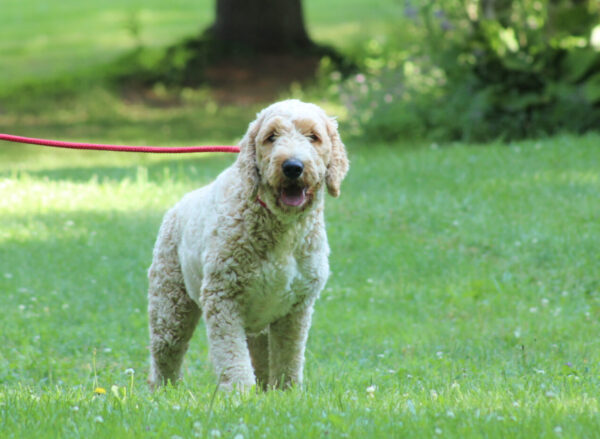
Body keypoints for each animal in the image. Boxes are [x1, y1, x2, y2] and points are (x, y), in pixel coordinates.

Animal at [147, 100, 350, 392]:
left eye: (314, 136)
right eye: (271, 137)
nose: (292, 166)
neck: (282, 226)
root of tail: (177, 206)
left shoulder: (296, 309)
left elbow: (288, 358)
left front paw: (288, 393)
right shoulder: (223, 297)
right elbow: (232, 357)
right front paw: (239, 394)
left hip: (258, 328)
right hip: (170, 306)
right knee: (165, 354)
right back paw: (165, 392)